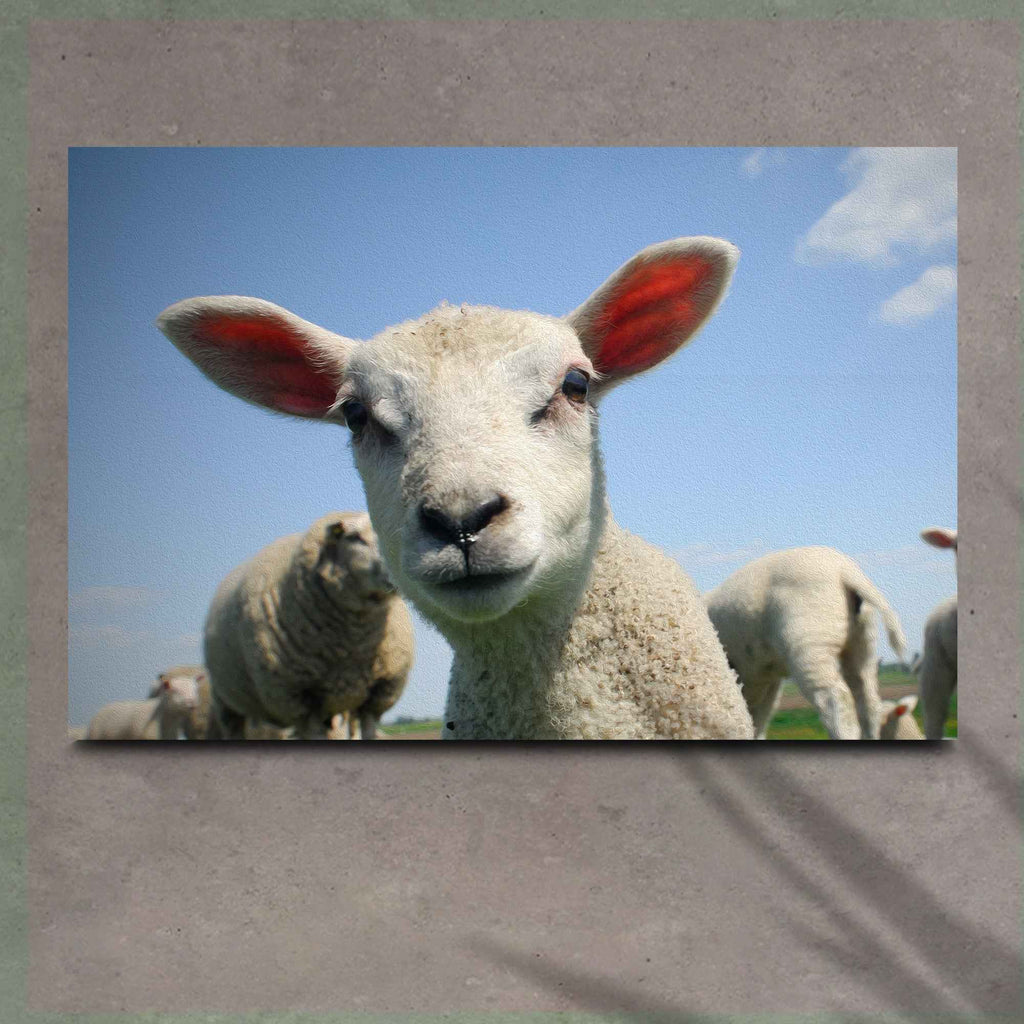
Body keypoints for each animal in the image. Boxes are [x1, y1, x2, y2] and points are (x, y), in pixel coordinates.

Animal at [197, 511, 414, 740]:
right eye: (354, 537)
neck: (353, 644)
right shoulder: (302, 700)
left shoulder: (378, 693)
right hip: (224, 700)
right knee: (233, 728)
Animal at [705, 547, 907, 740]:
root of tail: (845, 570)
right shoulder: (765, 681)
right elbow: (758, 720)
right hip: (862, 640)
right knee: (867, 701)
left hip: (809, 641)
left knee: (835, 699)